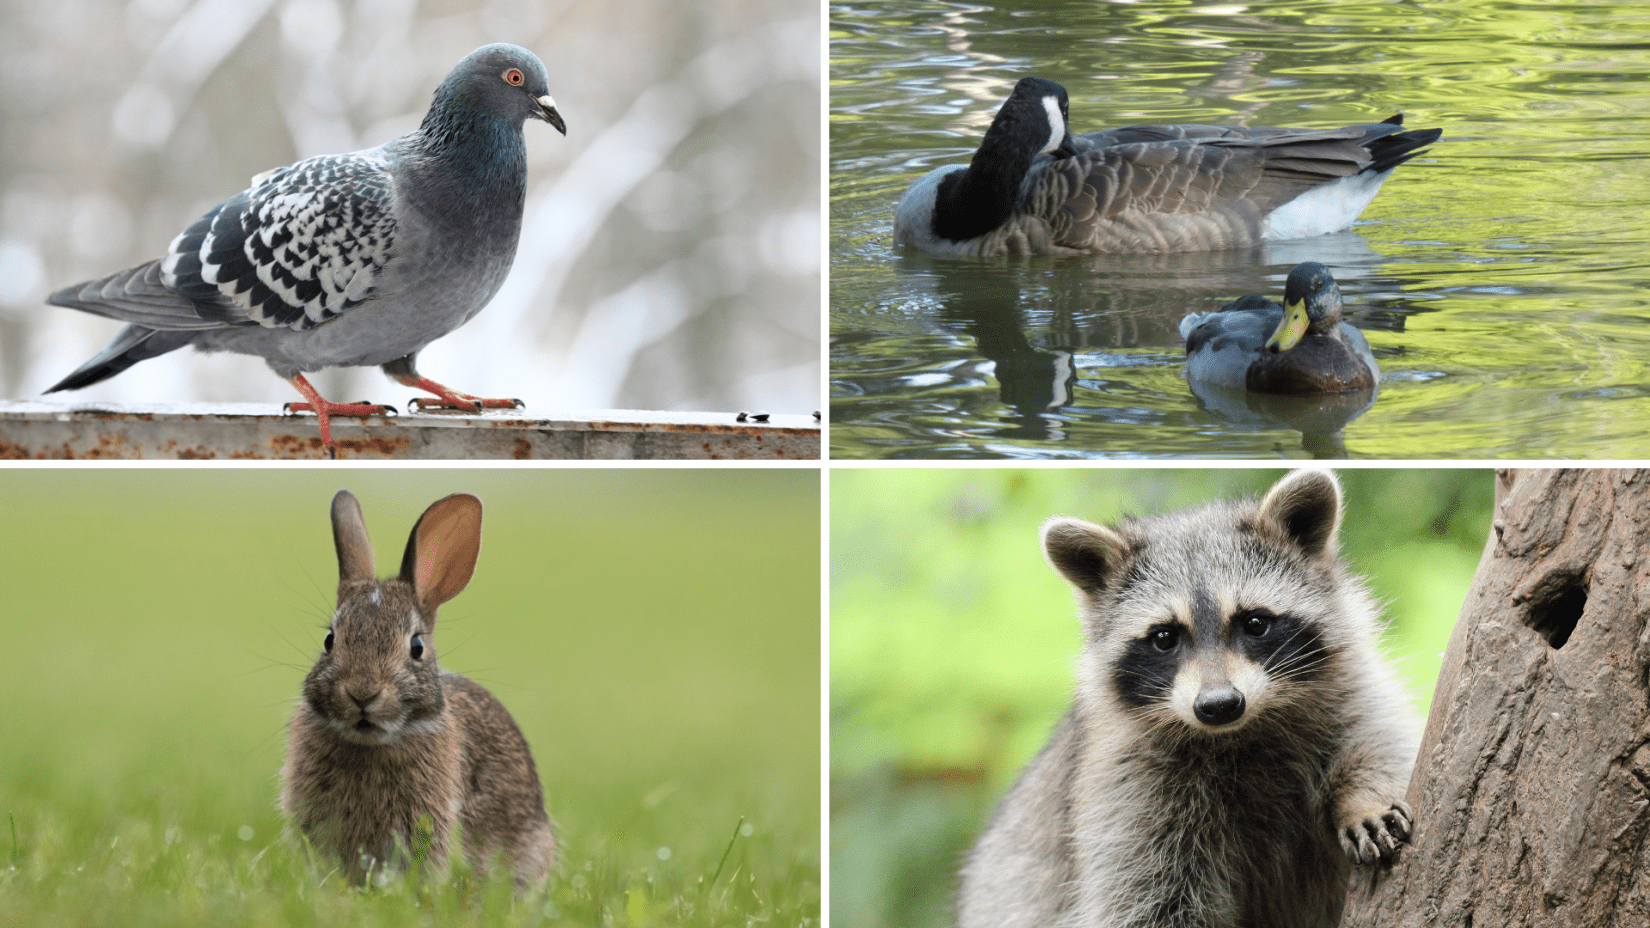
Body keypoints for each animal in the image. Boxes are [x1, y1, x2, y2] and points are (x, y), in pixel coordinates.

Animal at [963, 468, 1412, 924]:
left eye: (1254, 623)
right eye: (1164, 637)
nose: (1219, 705)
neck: (1240, 732)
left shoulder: (1350, 689)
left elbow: (1379, 742)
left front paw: (1363, 798)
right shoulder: (1129, 789)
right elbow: (1151, 898)